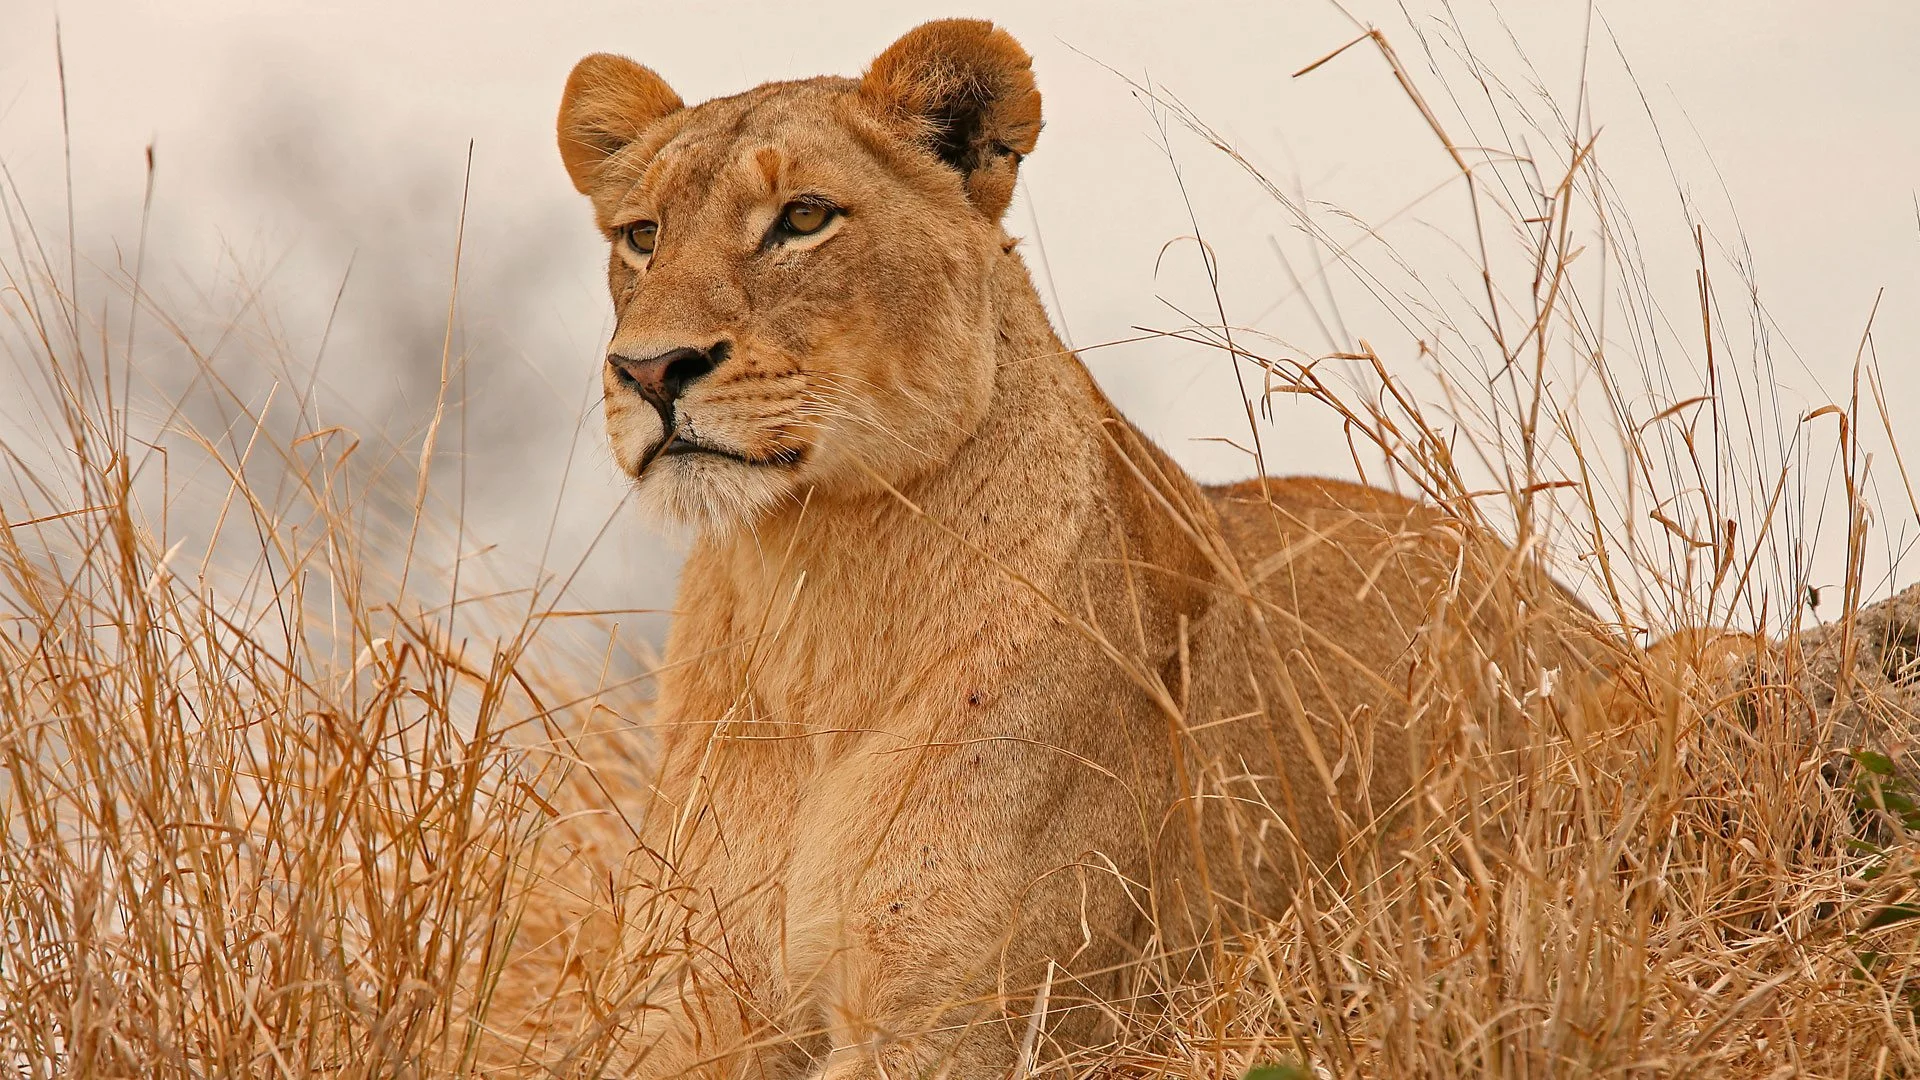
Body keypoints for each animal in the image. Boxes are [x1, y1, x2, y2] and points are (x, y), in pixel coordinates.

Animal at [546, 18, 1593, 1079]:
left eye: (803, 217)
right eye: (642, 235)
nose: (649, 370)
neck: (811, 587)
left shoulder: (959, 1025)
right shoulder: (682, 1004)